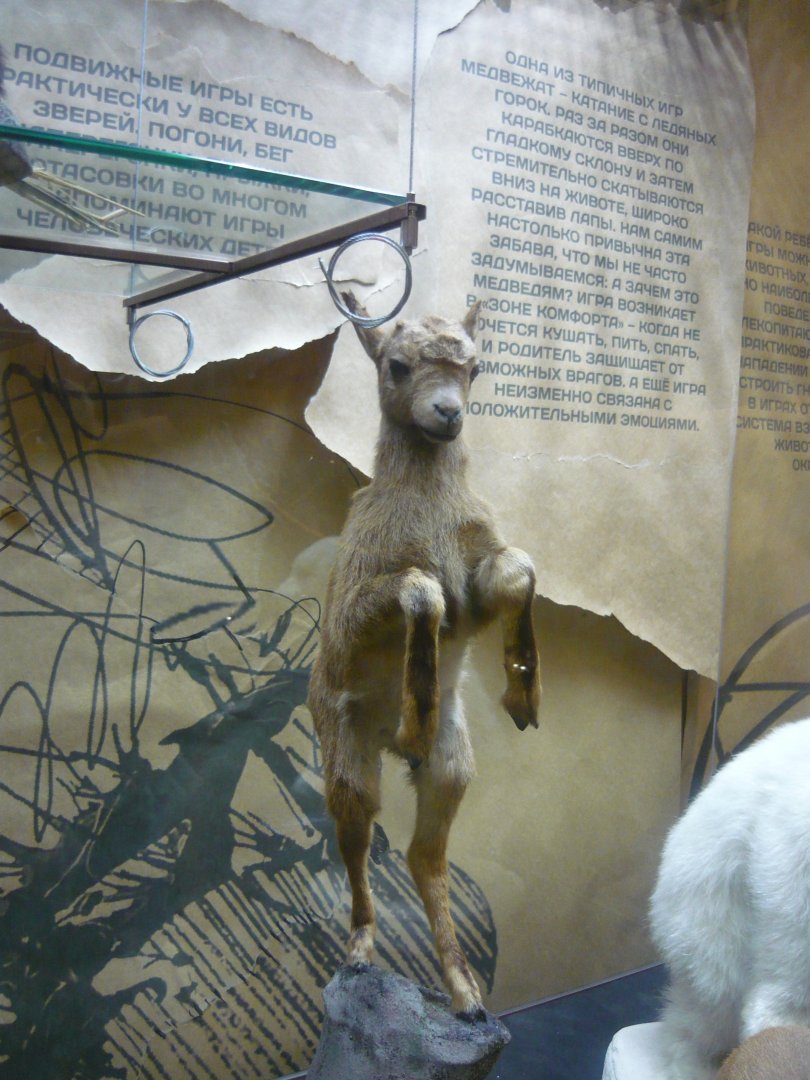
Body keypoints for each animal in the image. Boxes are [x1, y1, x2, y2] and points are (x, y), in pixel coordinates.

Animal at [307, 293, 540, 1017]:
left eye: (475, 367)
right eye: (397, 364)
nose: (447, 413)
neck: (431, 512)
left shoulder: (481, 581)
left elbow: (518, 570)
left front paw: (523, 691)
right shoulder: (359, 605)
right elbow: (421, 594)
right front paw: (417, 707)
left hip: (452, 766)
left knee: (423, 856)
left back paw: (464, 991)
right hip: (346, 759)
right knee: (356, 843)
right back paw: (360, 952)